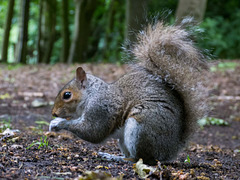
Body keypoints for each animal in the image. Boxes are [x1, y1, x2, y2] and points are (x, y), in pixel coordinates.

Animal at [49, 21, 208, 165]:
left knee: (139, 159)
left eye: (67, 95)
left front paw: (59, 122)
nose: (54, 113)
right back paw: (113, 155)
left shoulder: (100, 108)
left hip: (140, 128)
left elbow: (94, 132)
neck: (91, 95)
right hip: (124, 140)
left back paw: (116, 158)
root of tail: (172, 148)